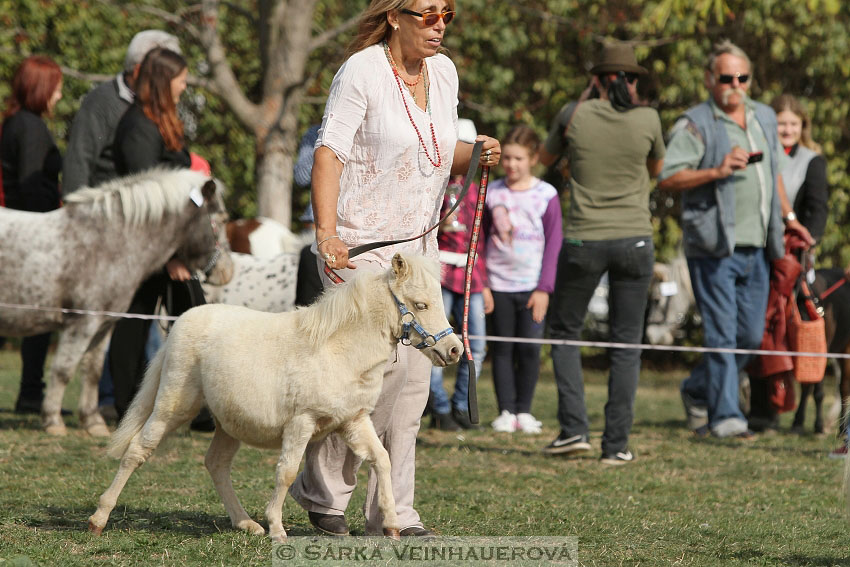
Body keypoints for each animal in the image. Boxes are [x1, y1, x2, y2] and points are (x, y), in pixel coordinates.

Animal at [89, 253, 460, 540]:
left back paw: (246, 524)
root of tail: (182, 320)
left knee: (216, 464)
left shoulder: (354, 421)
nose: (455, 349)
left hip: (228, 423)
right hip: (173, 406)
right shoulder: (302, 422)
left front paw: (393, 527)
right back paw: (98, 519)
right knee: (137, 450)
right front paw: (278, 530)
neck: (336, 350)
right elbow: (287, 471)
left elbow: (382, 459)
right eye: (420, 304)